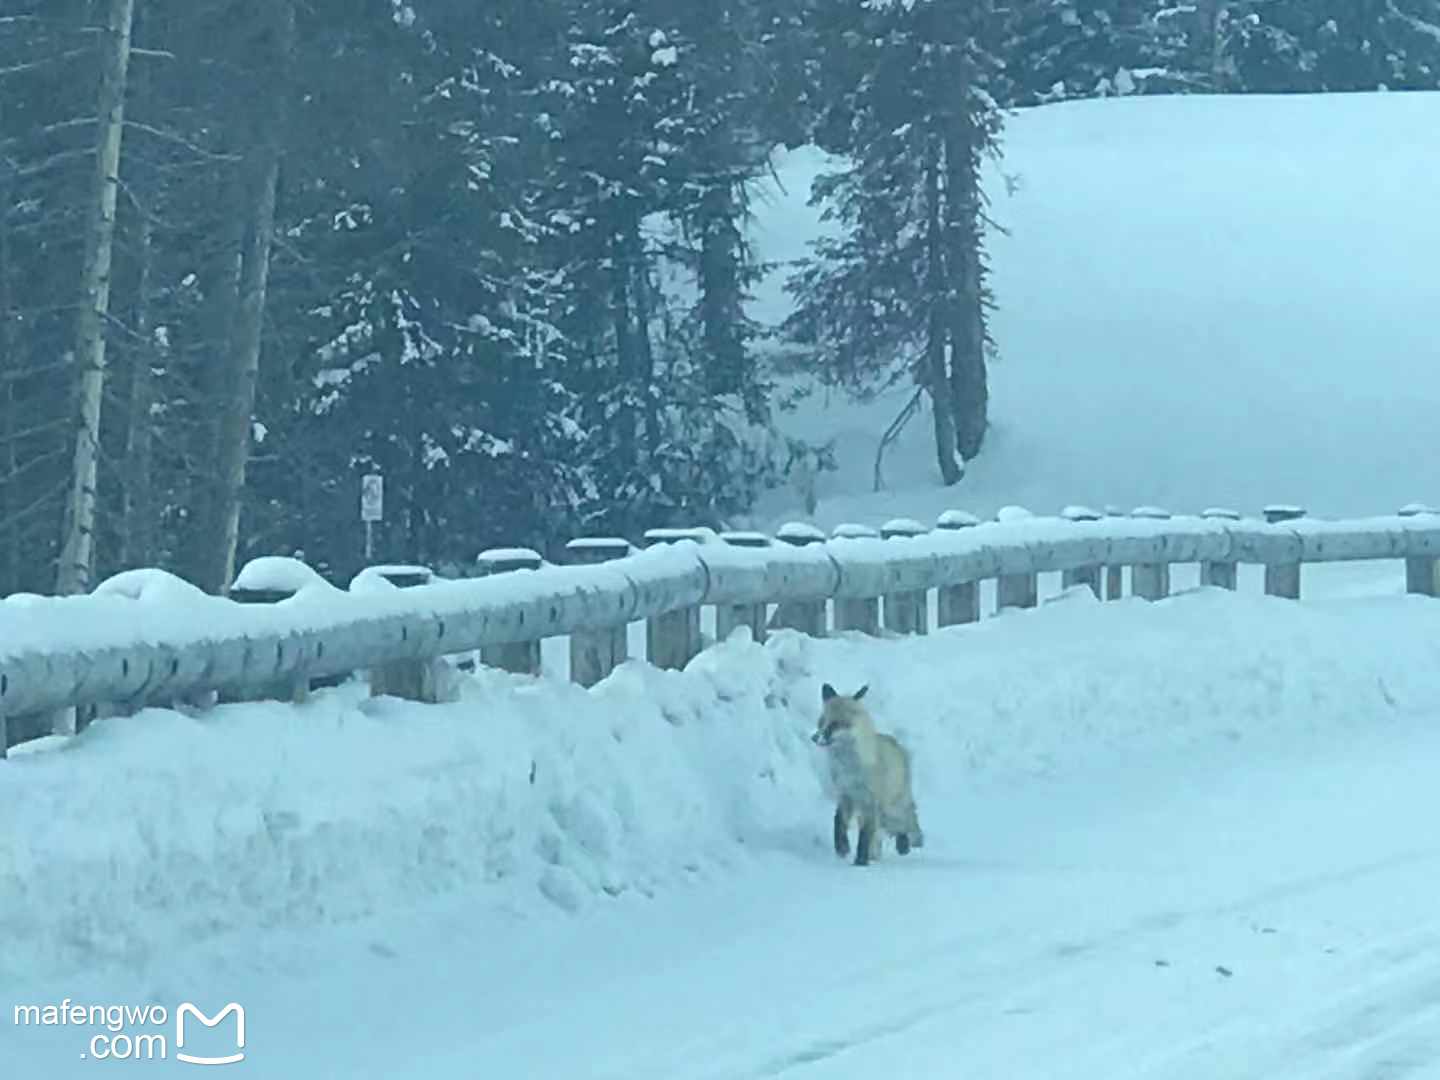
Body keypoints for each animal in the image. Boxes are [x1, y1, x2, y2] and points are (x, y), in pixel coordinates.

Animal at [812, 685, 921, 869]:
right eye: (821, 722)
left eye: (834, 724)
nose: (814, 738)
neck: (850, 769)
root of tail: (896, 742)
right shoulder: (846, 795)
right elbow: (838, 822)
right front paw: (842, 847)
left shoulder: (870, 800)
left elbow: (865, 835)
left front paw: (860, 861)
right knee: (881, 834)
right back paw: (876, 855)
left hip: (892, 808)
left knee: (906, 821)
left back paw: (903, 845)